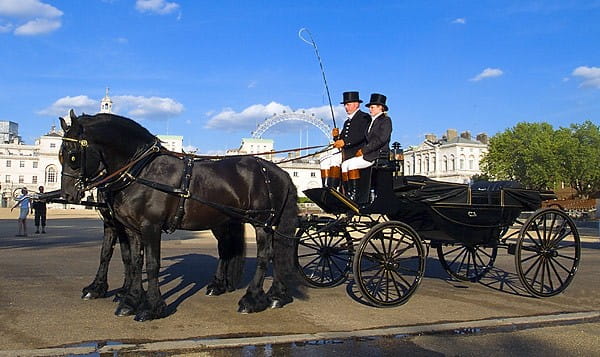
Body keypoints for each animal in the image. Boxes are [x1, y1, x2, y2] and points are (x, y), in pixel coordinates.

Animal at [58, 109, 298, 320]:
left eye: (73, 156)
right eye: (60, 155)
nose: (67, 194)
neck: (142, 170)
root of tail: (280, 171)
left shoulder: (150, 226)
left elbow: (151, 264)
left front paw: (151, 307)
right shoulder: (129, 227)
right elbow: (132, 261)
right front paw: (130, 299)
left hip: (262, 223)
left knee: (266, 254)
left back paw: (252, 299)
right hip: (227, 222)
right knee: (250, 250)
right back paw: (270, 294)